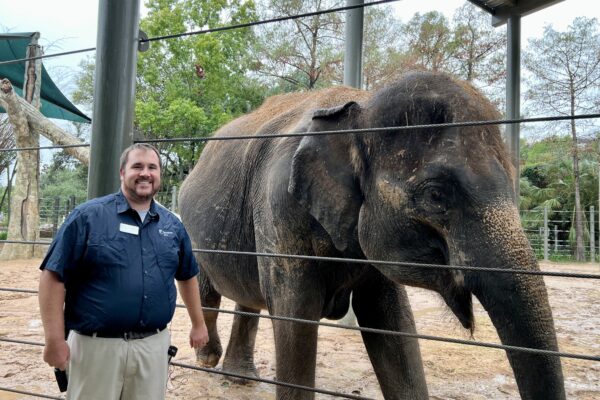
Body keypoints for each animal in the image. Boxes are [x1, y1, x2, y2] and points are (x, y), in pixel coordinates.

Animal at [180, 72, 564, 400]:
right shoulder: (280, 208)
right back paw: (208, 358)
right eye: (436, 195)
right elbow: (296, 317)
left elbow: (392, 323)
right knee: (206, 289)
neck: (361, 109)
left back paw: (239, 378)